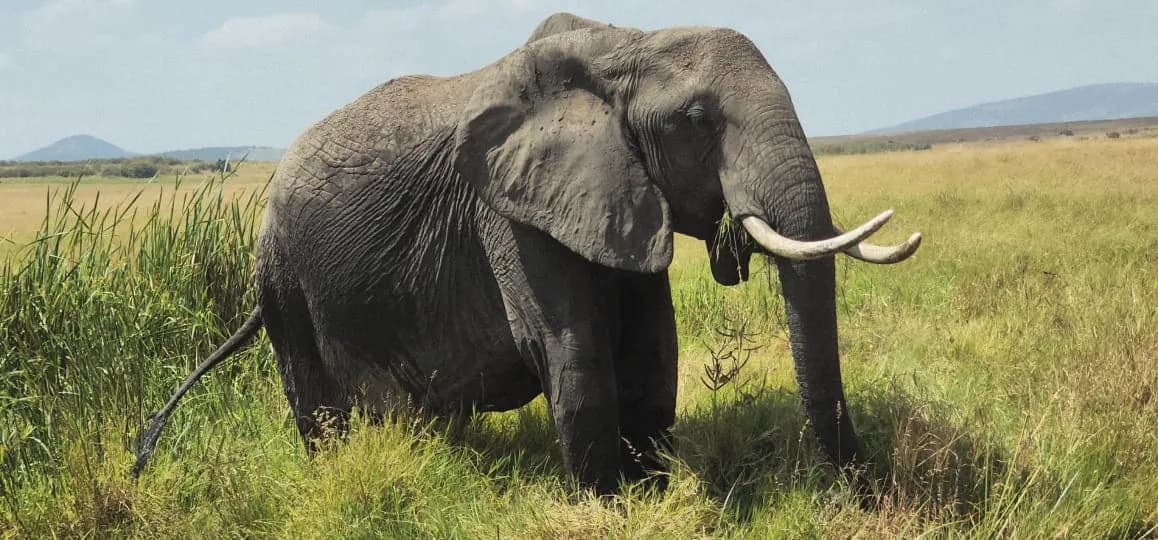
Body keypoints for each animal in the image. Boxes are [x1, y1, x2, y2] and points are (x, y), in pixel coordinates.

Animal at [132, 13, 921, 495]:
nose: (861, 486)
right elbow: (574, 352)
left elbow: (652, 351)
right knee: (319, 406)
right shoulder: (508, 213)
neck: (626, 46)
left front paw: (654, 490)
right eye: (697, 120)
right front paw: (610, 506)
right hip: (284, 280)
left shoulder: (617, 193)